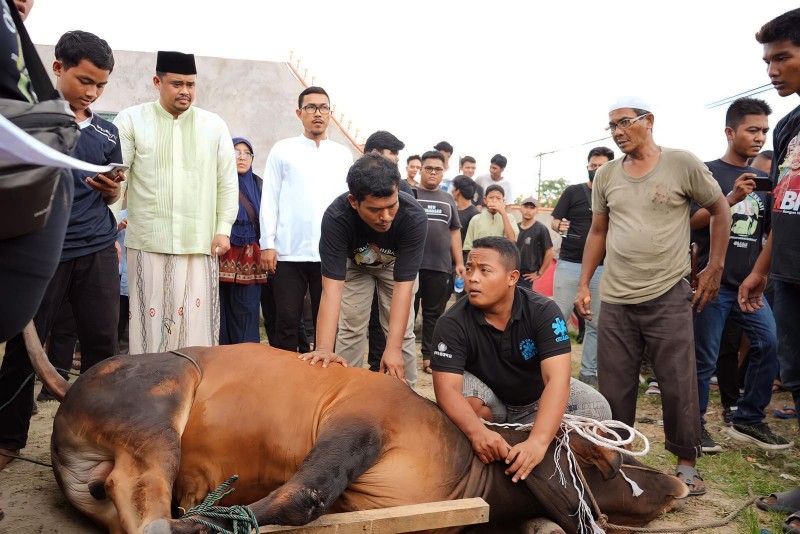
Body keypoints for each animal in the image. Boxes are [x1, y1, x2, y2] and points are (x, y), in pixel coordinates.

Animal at [37, 346, 688, 532]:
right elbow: (301, 497)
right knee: (141, 488)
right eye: (601, 464)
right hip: (164, 399)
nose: (678, 485)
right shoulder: (359, 427)